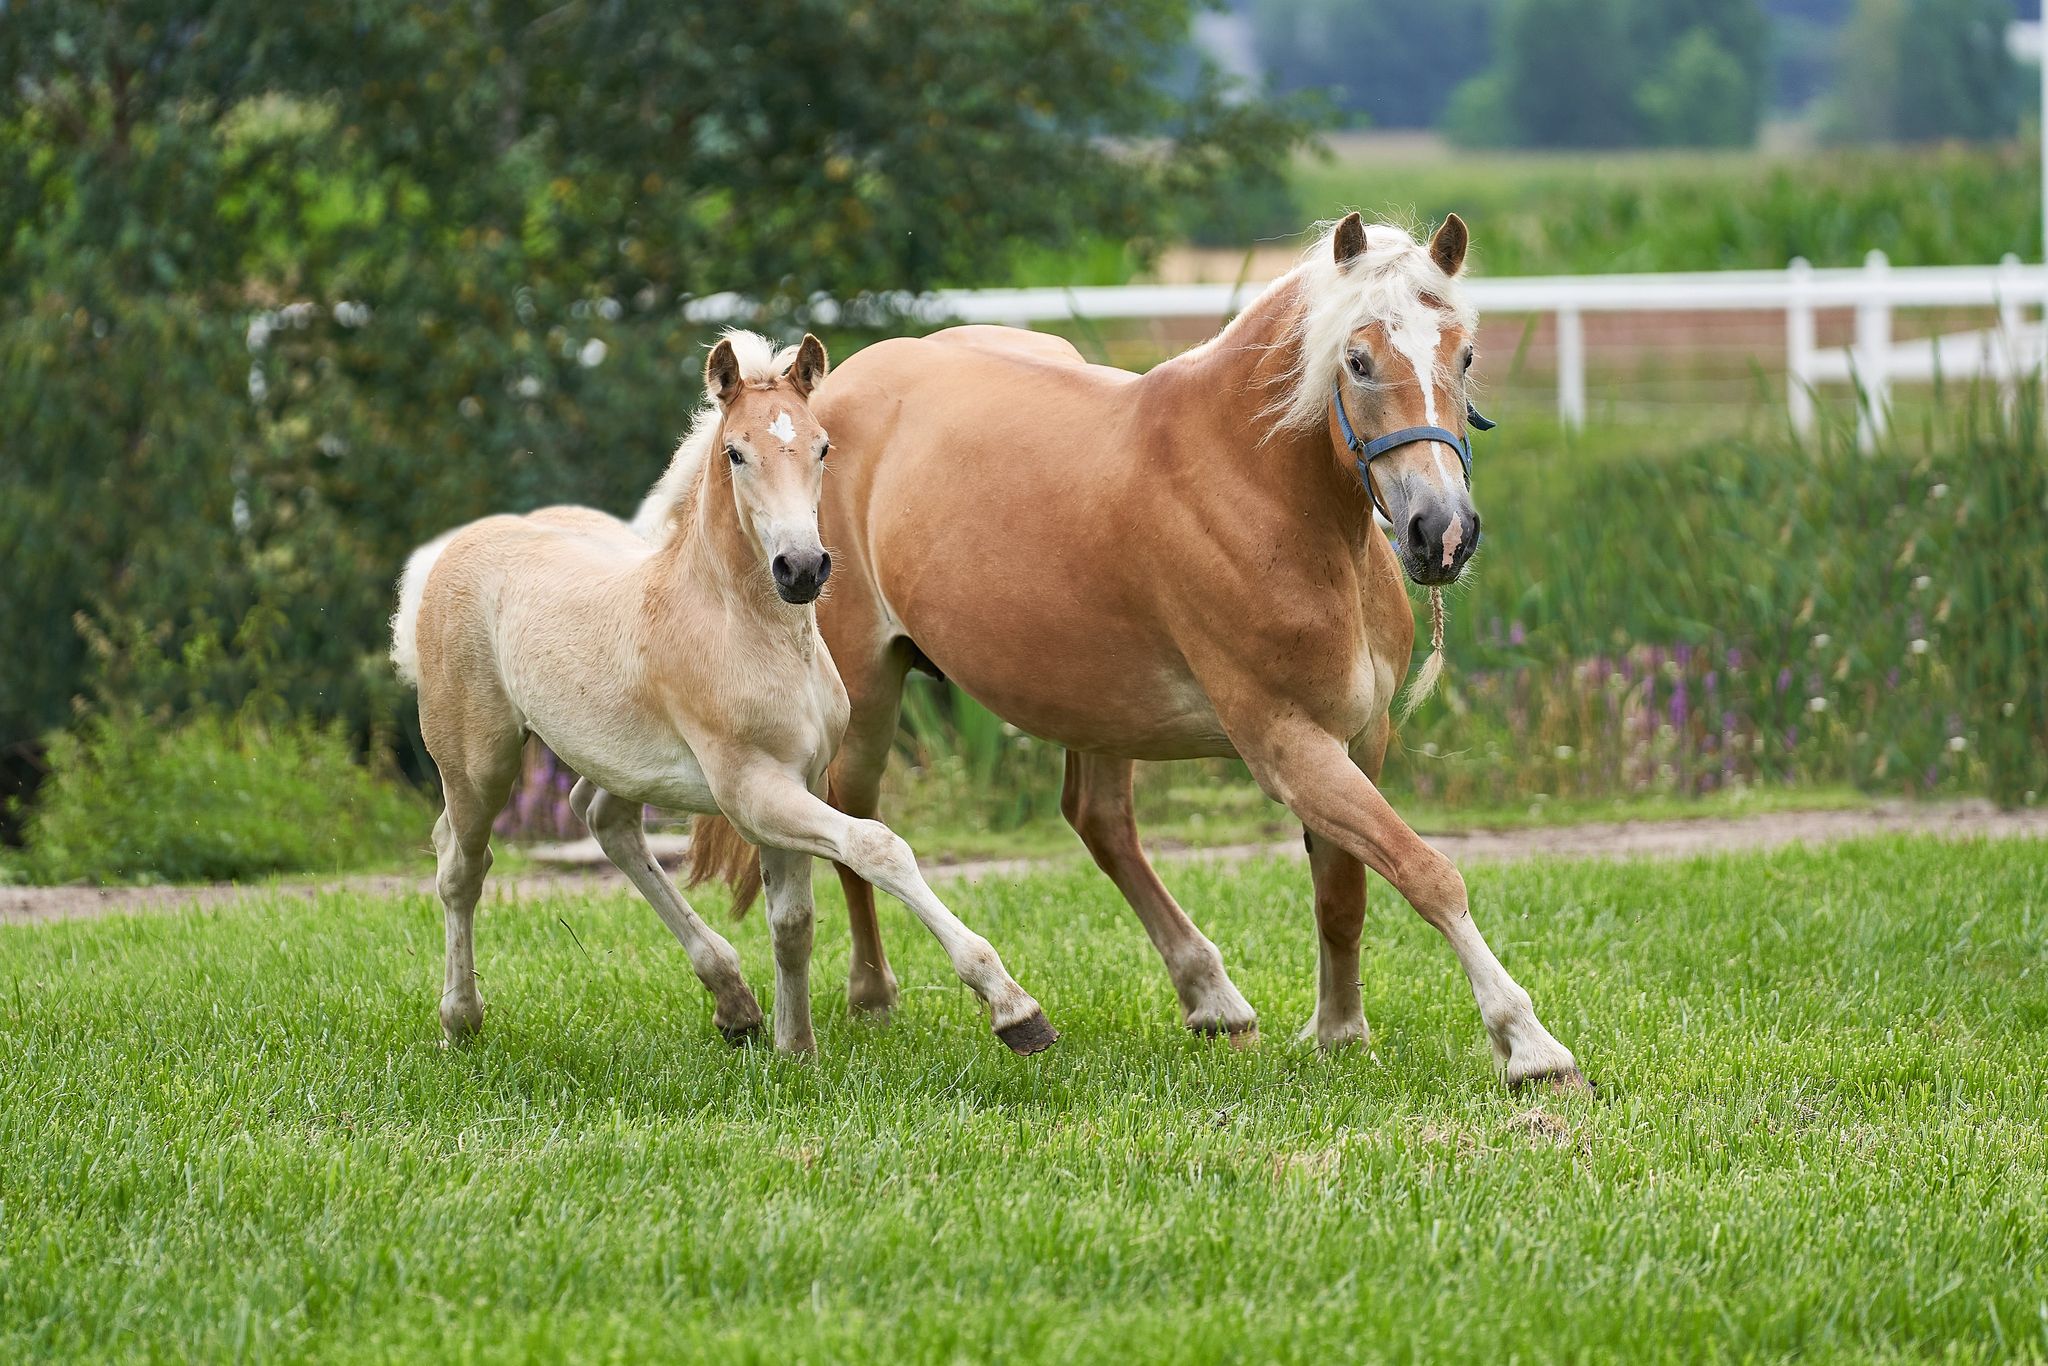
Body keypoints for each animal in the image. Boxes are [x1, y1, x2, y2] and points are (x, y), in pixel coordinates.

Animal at [387, 327, 1056, 1056]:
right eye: (736, 452)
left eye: (823, 446)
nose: (802, 568)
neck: (746, 631)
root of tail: (448, 552)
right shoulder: (753, 790)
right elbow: (876, 846)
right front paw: (1014, 1007)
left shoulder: (799, 778)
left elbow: (792, 922)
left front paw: (796, 1051)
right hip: (478, 761)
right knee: (460, 864)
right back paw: (461, 1021)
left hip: (621, 762)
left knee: (603, 819)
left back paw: (735, 1002)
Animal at [704, 208, 1581, 1097]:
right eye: (1359, 360)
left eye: (1463, 355)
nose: (1442, 533)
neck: (1256, 488)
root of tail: (831, 393)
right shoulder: (1288, 747)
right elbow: (1427, 872)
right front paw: (1530, 1046)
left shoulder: (1357, 741)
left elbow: (1344, 892)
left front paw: (1339, 1034)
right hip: (868, 689)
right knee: (854, 811)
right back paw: (876, 997)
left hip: (1095, 704)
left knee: (1099, 822)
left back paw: (1212, 999)